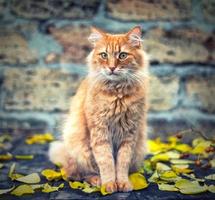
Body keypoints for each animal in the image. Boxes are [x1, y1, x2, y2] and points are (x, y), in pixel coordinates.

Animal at [49, 26, 149, 192]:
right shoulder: (100, 132)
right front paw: (109, 184)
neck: (117, 94)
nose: (112, 67)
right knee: (79, 174)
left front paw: (123, 183)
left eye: (122, 55)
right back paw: (97, 180)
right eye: (104, 55)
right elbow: (106, 162)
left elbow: (122, 163)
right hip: (80, 149)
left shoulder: (129, 134)